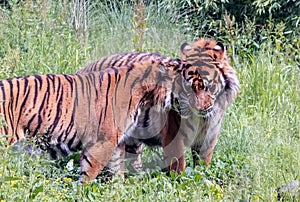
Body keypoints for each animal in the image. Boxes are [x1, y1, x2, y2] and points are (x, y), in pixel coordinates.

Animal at [0, 57, 188, 182]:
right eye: (187, 84)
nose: (197, 104)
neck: (145, 95)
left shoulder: (116, 142)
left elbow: (116, 168)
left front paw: (118, 190)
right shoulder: (102, 142)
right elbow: (89, 171)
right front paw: (81, 192)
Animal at [78, 37, 241, 175]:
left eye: (208, 86)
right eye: (189, 88)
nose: (199, 108)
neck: (201, 118)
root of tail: (84, 69)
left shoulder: (208, 136)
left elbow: (202, 163)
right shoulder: (173, 133)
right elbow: (178, 164)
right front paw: (180, 181)